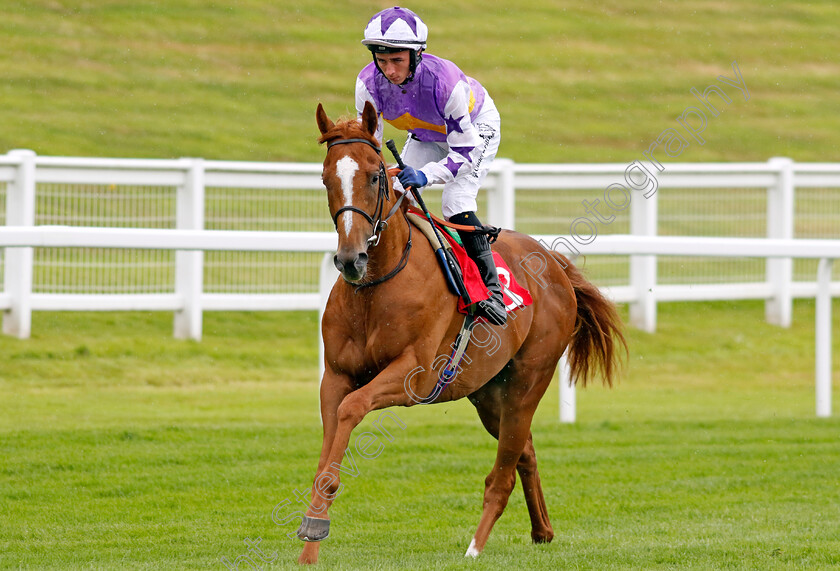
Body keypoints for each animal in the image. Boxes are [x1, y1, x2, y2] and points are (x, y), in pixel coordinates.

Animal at [298, 101, 628, 564]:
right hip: (488, 392)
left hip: (528, 381)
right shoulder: (335, 375)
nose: (350, 258)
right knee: (524, 452)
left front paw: (314, 528)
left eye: (375, 176)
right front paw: (310, 540)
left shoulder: (413, 376)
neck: (378, 285)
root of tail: (553, 262)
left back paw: (475, 546)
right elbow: (330, 449)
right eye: (327, 178)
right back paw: (542, 531)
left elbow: (352, 409)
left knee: (503, 473)